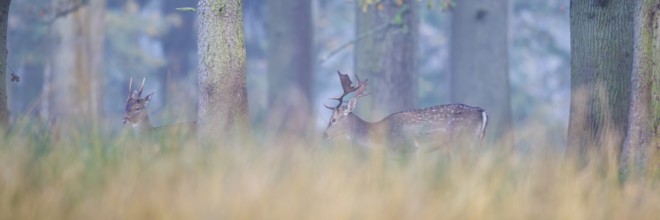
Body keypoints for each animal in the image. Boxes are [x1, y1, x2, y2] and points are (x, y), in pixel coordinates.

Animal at [322, 71, 488, 156]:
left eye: (333, 119)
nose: (324, 135)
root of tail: (482, 112)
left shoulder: (406, 149)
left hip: (463, 141)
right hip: (476, 142)